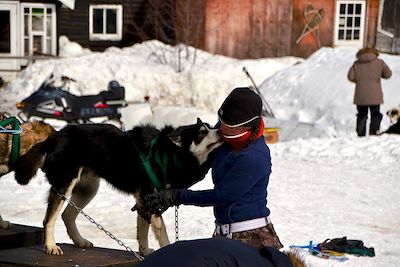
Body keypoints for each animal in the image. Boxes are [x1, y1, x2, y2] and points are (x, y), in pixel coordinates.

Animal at [11, 119, 222, 255]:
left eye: (211, 127)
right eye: (202, 132)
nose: (220, 130)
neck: (169, 154)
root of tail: (54, 137)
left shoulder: (144, 200)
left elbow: (142, 230)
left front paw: (144, 251)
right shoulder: (148, 198)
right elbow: (162, 233)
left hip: (88, 189)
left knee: (67, 215)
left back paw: (79, 241)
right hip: (64, 185)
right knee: (49, 219)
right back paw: (51, 246)